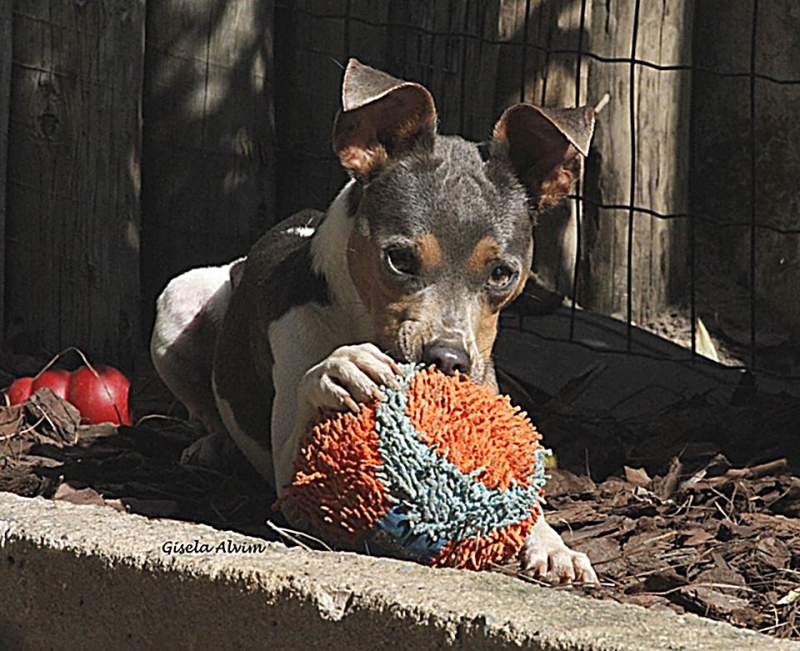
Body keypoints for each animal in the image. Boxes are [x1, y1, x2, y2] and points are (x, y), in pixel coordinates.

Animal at [153, 58, 596, 584]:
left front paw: (554, 546)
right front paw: (341, 368)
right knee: (206, 411)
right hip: (178, 302)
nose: (448, 358)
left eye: (501, 274)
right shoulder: (289, 481)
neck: (359, 320)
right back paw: (212, 446)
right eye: (400, 259)